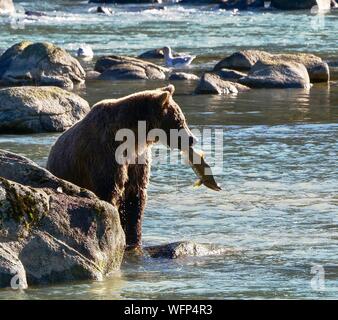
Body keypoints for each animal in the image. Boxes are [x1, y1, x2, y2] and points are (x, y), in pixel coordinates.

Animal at [46, 84, 195, 248]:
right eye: (179, 120)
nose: (192, 139)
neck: (134, 138)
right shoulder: (106, 153)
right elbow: (109, 189)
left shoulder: (137, 160)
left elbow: (135, 197)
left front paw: (134, 239)